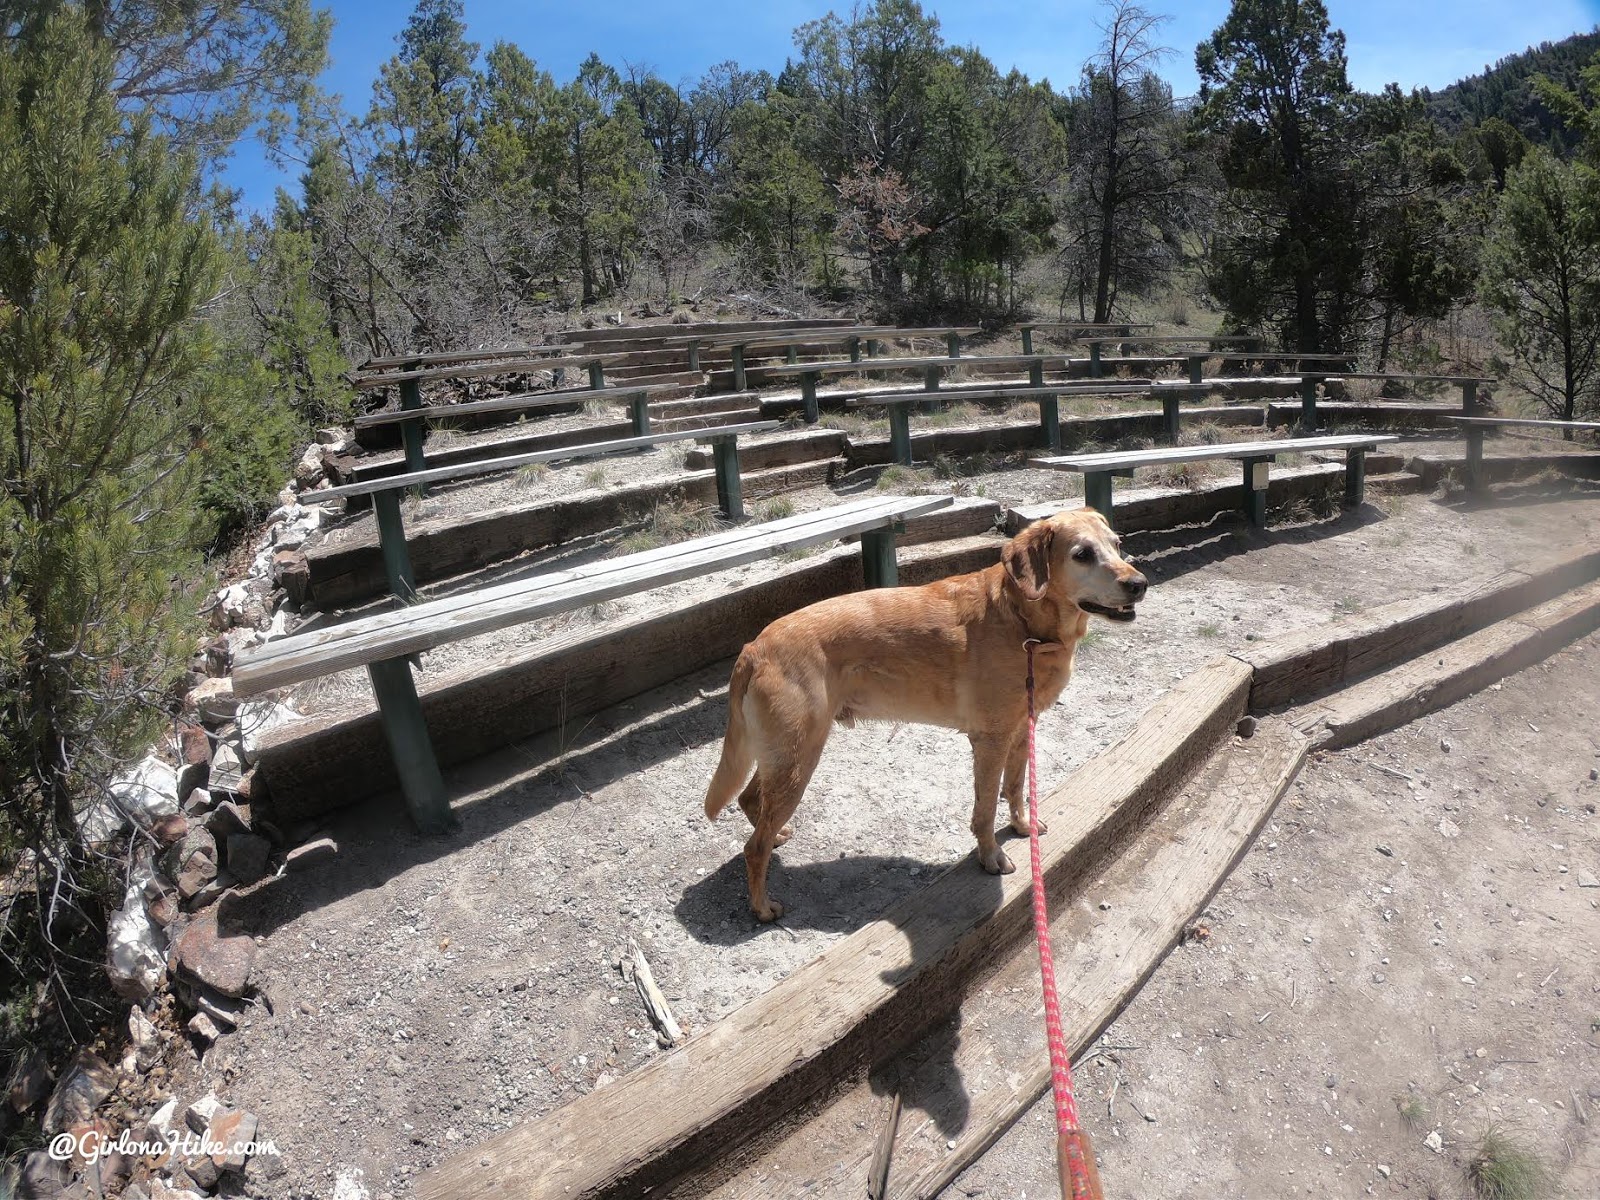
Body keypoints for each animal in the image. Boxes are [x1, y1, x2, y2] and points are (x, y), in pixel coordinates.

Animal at [707, 508, 1145, 921]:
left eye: (1117, 544)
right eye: (1082, 554)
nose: (1139, 584)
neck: (1025, 624)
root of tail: (754, 647)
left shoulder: (1022, 730)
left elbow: (1016, 788)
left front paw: (1022, 826)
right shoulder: (990, 741)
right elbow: (986, 809)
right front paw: (990, 857)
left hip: (784, 757)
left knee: (750, 799)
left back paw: (777, 837)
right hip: (799, 760)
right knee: (753, 846)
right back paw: (762, 906)